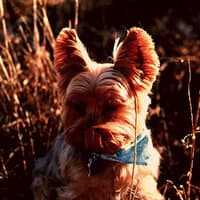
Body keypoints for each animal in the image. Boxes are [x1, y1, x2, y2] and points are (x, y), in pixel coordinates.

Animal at [32, 27, 164, 200]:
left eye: (111, 106)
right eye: (79, 106)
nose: (86, 131)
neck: (108, 154)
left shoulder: (142, 185)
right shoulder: (75, 189)